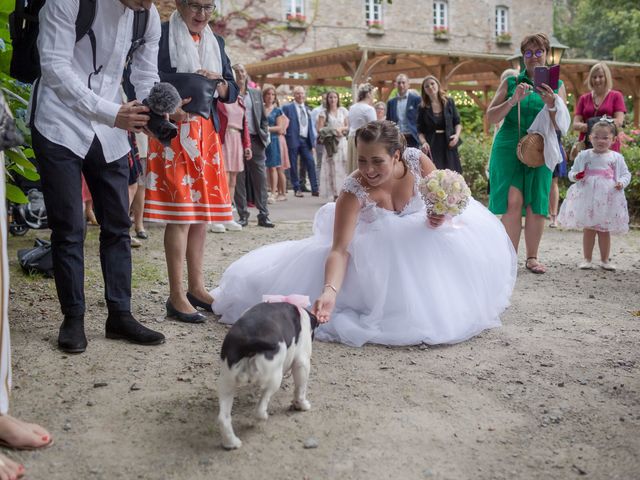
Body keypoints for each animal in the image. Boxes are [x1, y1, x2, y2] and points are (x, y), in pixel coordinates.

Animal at [218, 300, 318, 450]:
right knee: (260, 408)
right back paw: (262, 418)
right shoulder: (302, 362)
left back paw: (232, 443)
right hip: (274, 379)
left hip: (227, 383)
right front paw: (302, 405)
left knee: (223, 418)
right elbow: (300, 389)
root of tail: (248, 341)